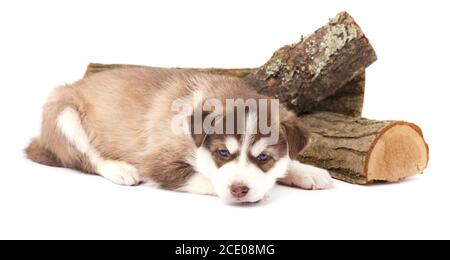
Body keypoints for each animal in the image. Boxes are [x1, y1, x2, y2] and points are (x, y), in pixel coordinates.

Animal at [27, 68, 330, 204]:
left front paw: (307, 171)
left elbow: (287, 162)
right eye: (223, 153)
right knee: (85, 157)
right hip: (64, 113)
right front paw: (260, 191)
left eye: (264, 157)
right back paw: (118, 169)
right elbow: (205, 178)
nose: (239, 190)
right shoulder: (157, 162)